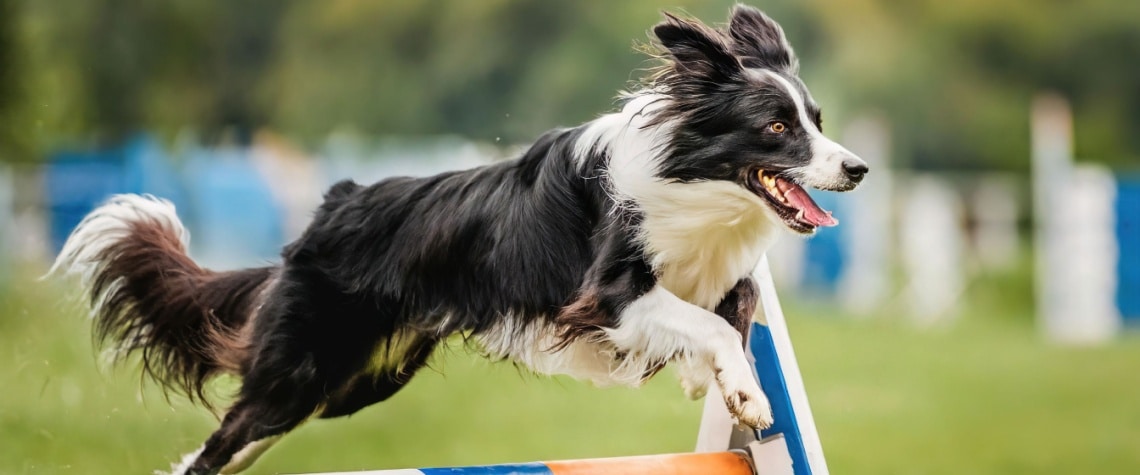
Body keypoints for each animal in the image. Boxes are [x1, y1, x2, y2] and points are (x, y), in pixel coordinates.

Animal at [51, 4, 861, 473]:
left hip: (355, 381)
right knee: (220, 442)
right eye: (777, 127)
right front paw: (746, 396)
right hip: (303, 370)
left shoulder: (719, 272)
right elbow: (709, 324)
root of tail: (331, 207)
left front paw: (716, 384)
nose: (856, 167)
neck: (696, 181)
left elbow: (738, 308)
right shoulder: (609, 293)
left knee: (229, 445)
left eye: (818, 119)